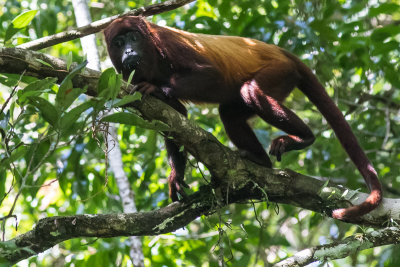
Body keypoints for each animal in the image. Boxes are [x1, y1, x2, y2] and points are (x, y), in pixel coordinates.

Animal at [103, 17, 382, 222]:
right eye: (118, 42)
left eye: (134, 37)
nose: (128, 50)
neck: (150, 53)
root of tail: (280, 50)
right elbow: (174, 117)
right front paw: (177, 175)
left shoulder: (167, 42)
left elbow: (211, 75)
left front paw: (156, 88)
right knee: (229, 112)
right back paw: (259, 159)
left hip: (280, 71)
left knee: (251, 91)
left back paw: (304, 137)